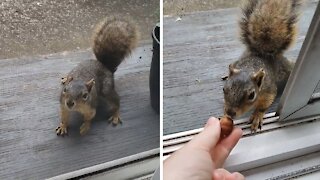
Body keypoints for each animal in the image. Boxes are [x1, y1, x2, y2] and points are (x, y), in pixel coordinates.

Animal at [222, 0, 300, 132]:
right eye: (224, 89)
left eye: (252, 95)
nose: (230, 113)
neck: (248, 68)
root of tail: (263, 54)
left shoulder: (268, 89)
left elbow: (265, 103)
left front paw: (257, 115)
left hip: (285, 70)